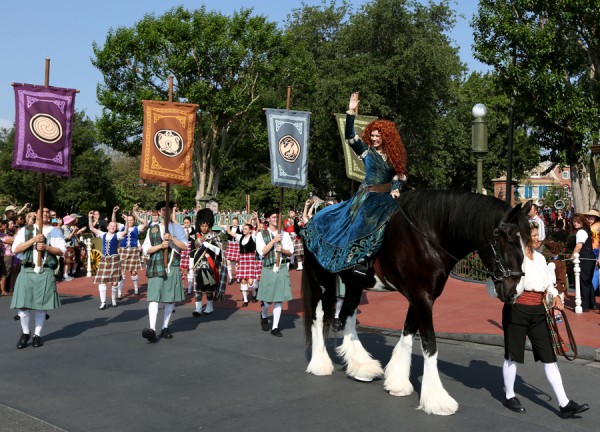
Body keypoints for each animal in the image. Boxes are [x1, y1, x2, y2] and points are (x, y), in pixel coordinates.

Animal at [302, 189, 532, 416]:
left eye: (527, 243)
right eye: (509, 240)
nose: (515, 291)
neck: (430, 236)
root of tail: (311, 219)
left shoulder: (421, 297)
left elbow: (408, 334)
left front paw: (397, 382)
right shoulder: (421, 297)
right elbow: (430, 343)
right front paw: (437, 399)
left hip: (354, 283)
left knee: (347, 316)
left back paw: (361, 367)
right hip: (320, 279)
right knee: (318, 317)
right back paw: (320, 364)